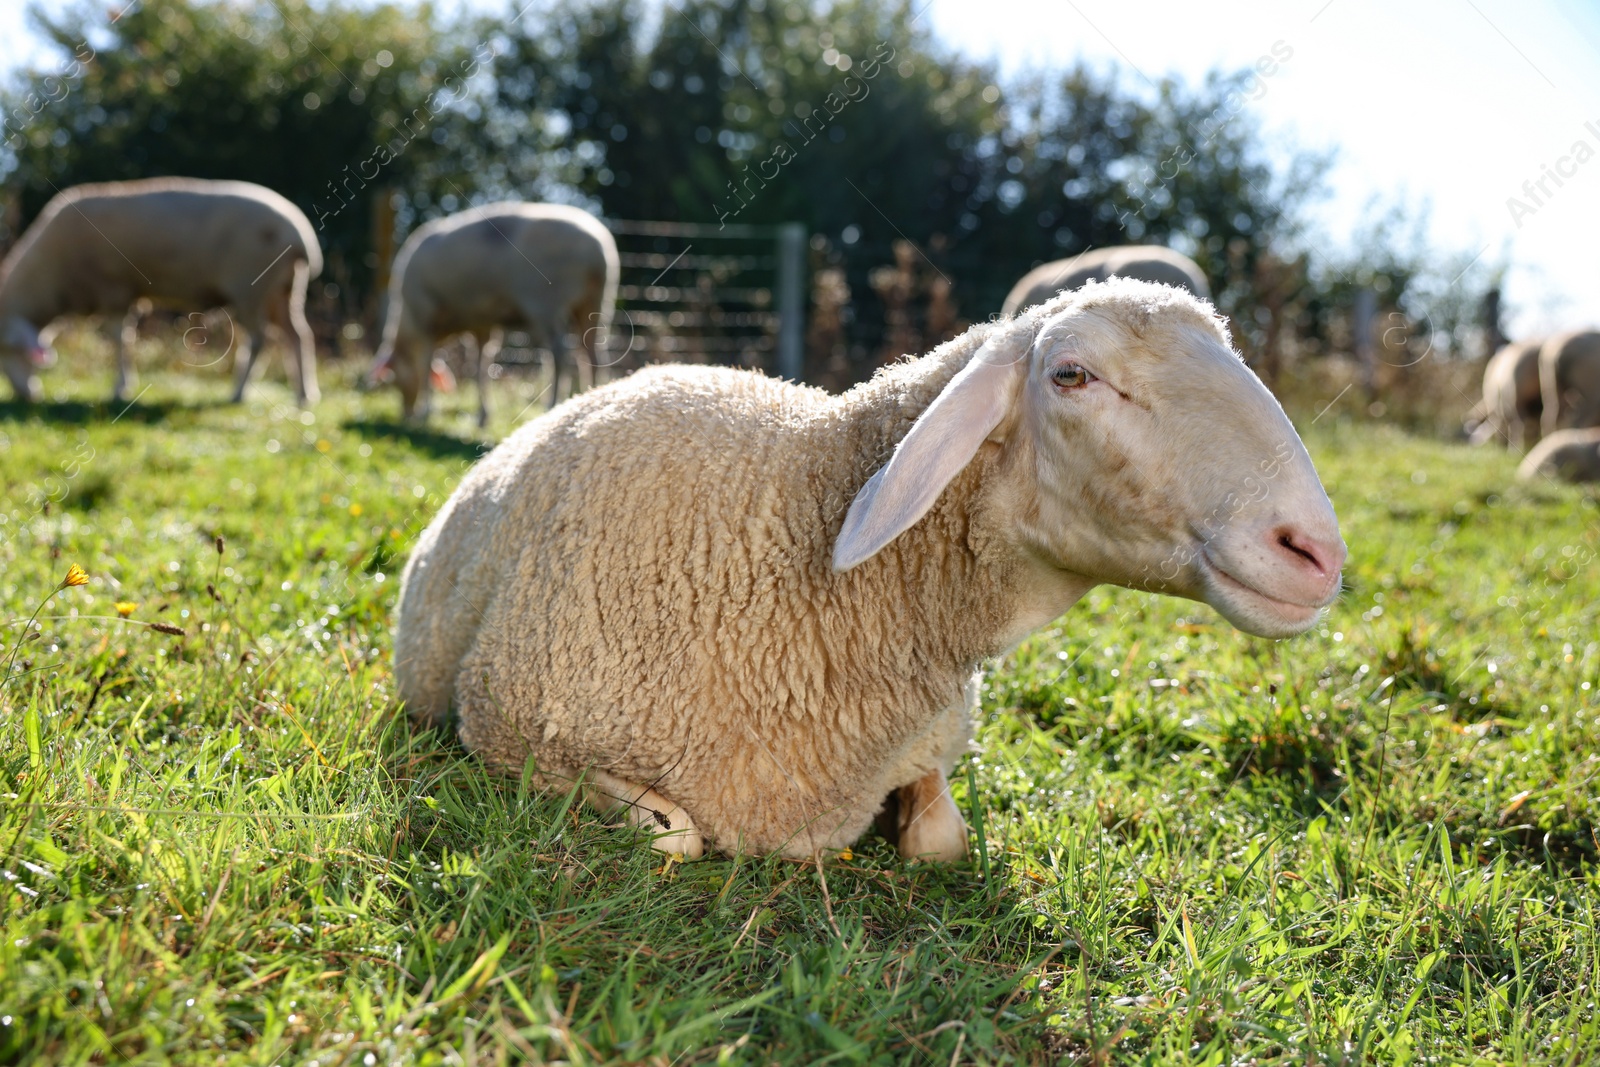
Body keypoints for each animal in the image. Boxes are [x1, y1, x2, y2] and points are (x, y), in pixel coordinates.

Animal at [0, 179, 324, 404]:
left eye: (9, 351)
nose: (26, 396)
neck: (52, 279)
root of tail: (302, 237)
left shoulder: (113, 289)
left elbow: (118, 338)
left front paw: (120, 387)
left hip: (249, 288)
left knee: (259, 339)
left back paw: (238, 393)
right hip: (283, 290)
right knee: (297, 334)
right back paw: (304, 395)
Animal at [368, 203, 617, 425]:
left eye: (393, 380)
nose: (405, 414)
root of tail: (596, 251)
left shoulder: (426, 317)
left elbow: (425, 364)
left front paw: (425, 413)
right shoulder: (481, 324)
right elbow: (481, 366)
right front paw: (482, 417)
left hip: (545, 302)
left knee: (560, 355)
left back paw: (552, 404)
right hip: (595, 302)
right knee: (592, 353)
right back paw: (590, 395)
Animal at [393, 281, 1344, 870]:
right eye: (1071, 374)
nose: (1318, 552)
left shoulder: (932, 738)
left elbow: (940, 841)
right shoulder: (515, 732)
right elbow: (677, 837)